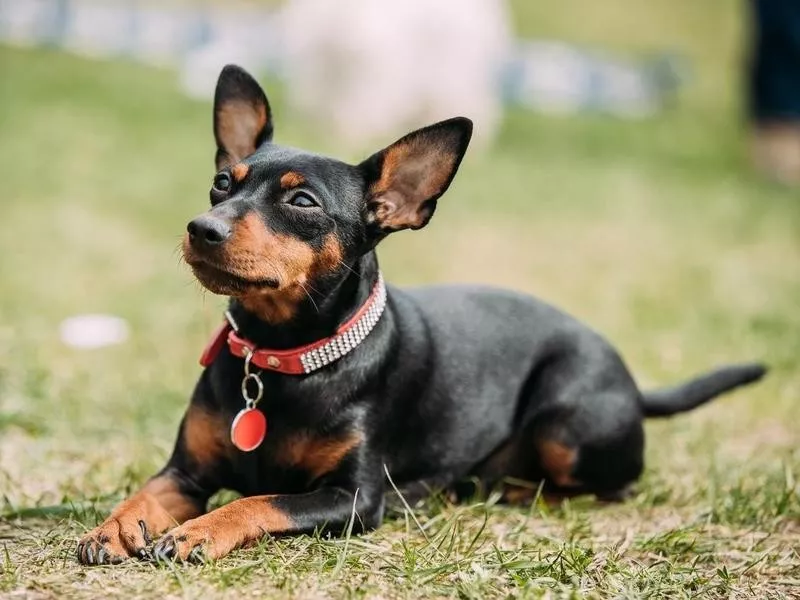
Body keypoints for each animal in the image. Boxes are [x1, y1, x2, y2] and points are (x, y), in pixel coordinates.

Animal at [76, 65, 768, 568]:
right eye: (223, 183)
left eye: (302, 202)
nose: (202, 228)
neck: (282, 356)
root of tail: (633, 383)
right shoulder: (184, 472)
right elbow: (147, 492)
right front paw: (115, 526)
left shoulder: (355, 499)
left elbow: (262, 501)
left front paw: (200, 530)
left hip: (569, 426)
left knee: (606, 485)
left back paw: (506, 488)